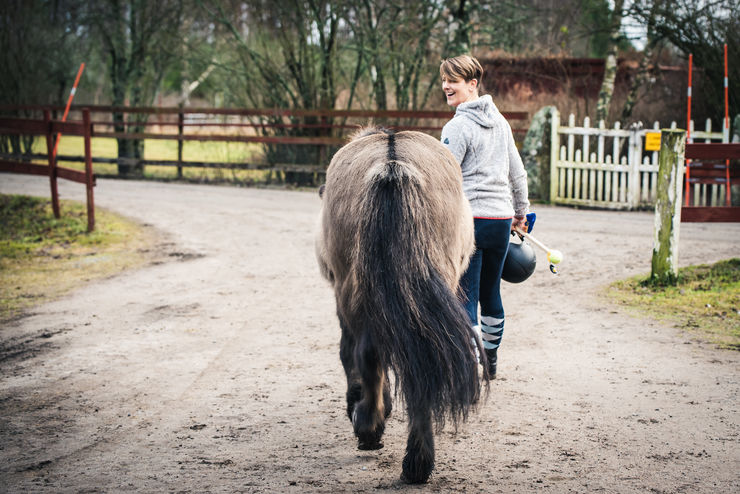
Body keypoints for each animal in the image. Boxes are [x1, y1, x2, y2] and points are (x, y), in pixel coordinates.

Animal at [316, 126, 488, 482]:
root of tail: (392, 163)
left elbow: (349, 355)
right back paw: (418, 461)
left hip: (353, 295)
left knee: (367, 354)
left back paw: (369, 429)